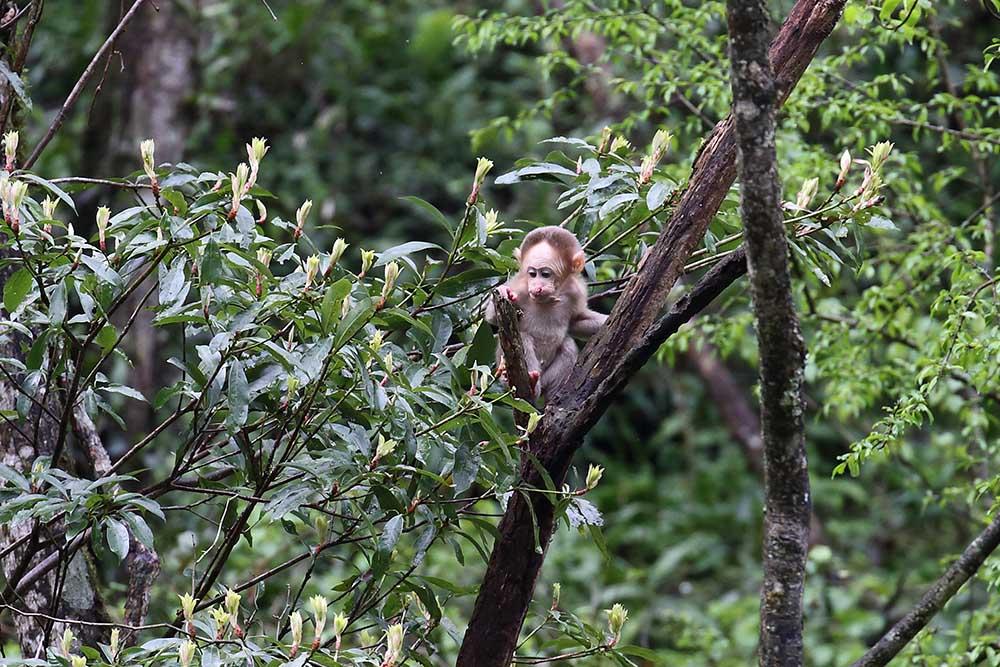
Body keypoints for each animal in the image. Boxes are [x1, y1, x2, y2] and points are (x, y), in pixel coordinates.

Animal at [484, 227, 608, 400]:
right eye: (532, 274)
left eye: (545, 274)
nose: (537, 287)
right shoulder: (520, 286)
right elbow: (492, 318)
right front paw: (503, 291)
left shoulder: (576, 292)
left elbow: (576, 321)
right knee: (524, 338)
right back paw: (529, 385)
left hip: (546, 379)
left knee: (568, 345)